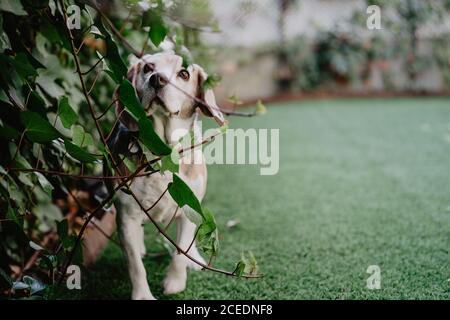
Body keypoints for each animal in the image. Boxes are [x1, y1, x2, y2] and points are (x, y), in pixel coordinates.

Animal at [110, 52, 225, 300]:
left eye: (184, 74)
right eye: (147, 68)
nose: (157, 79)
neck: (162, 151)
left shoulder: (190, 207)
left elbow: (181, 252)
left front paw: (175, 282)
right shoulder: (126, 215)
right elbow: (134, 263)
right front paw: (143, 295)